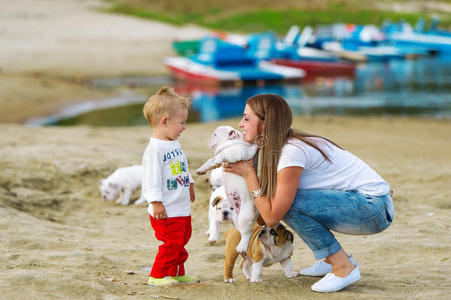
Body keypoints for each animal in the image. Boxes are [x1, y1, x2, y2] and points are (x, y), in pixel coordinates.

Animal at [197, 125, 258, 254]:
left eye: (215, 134)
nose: (210, 137)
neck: (231, 143)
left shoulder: (235, 152)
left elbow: (221, 155)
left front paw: (216, 161)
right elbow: (210, 160)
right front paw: (202, 169)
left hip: (245, 216)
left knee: (247, 233)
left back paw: (242, 247)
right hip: (236, 217)